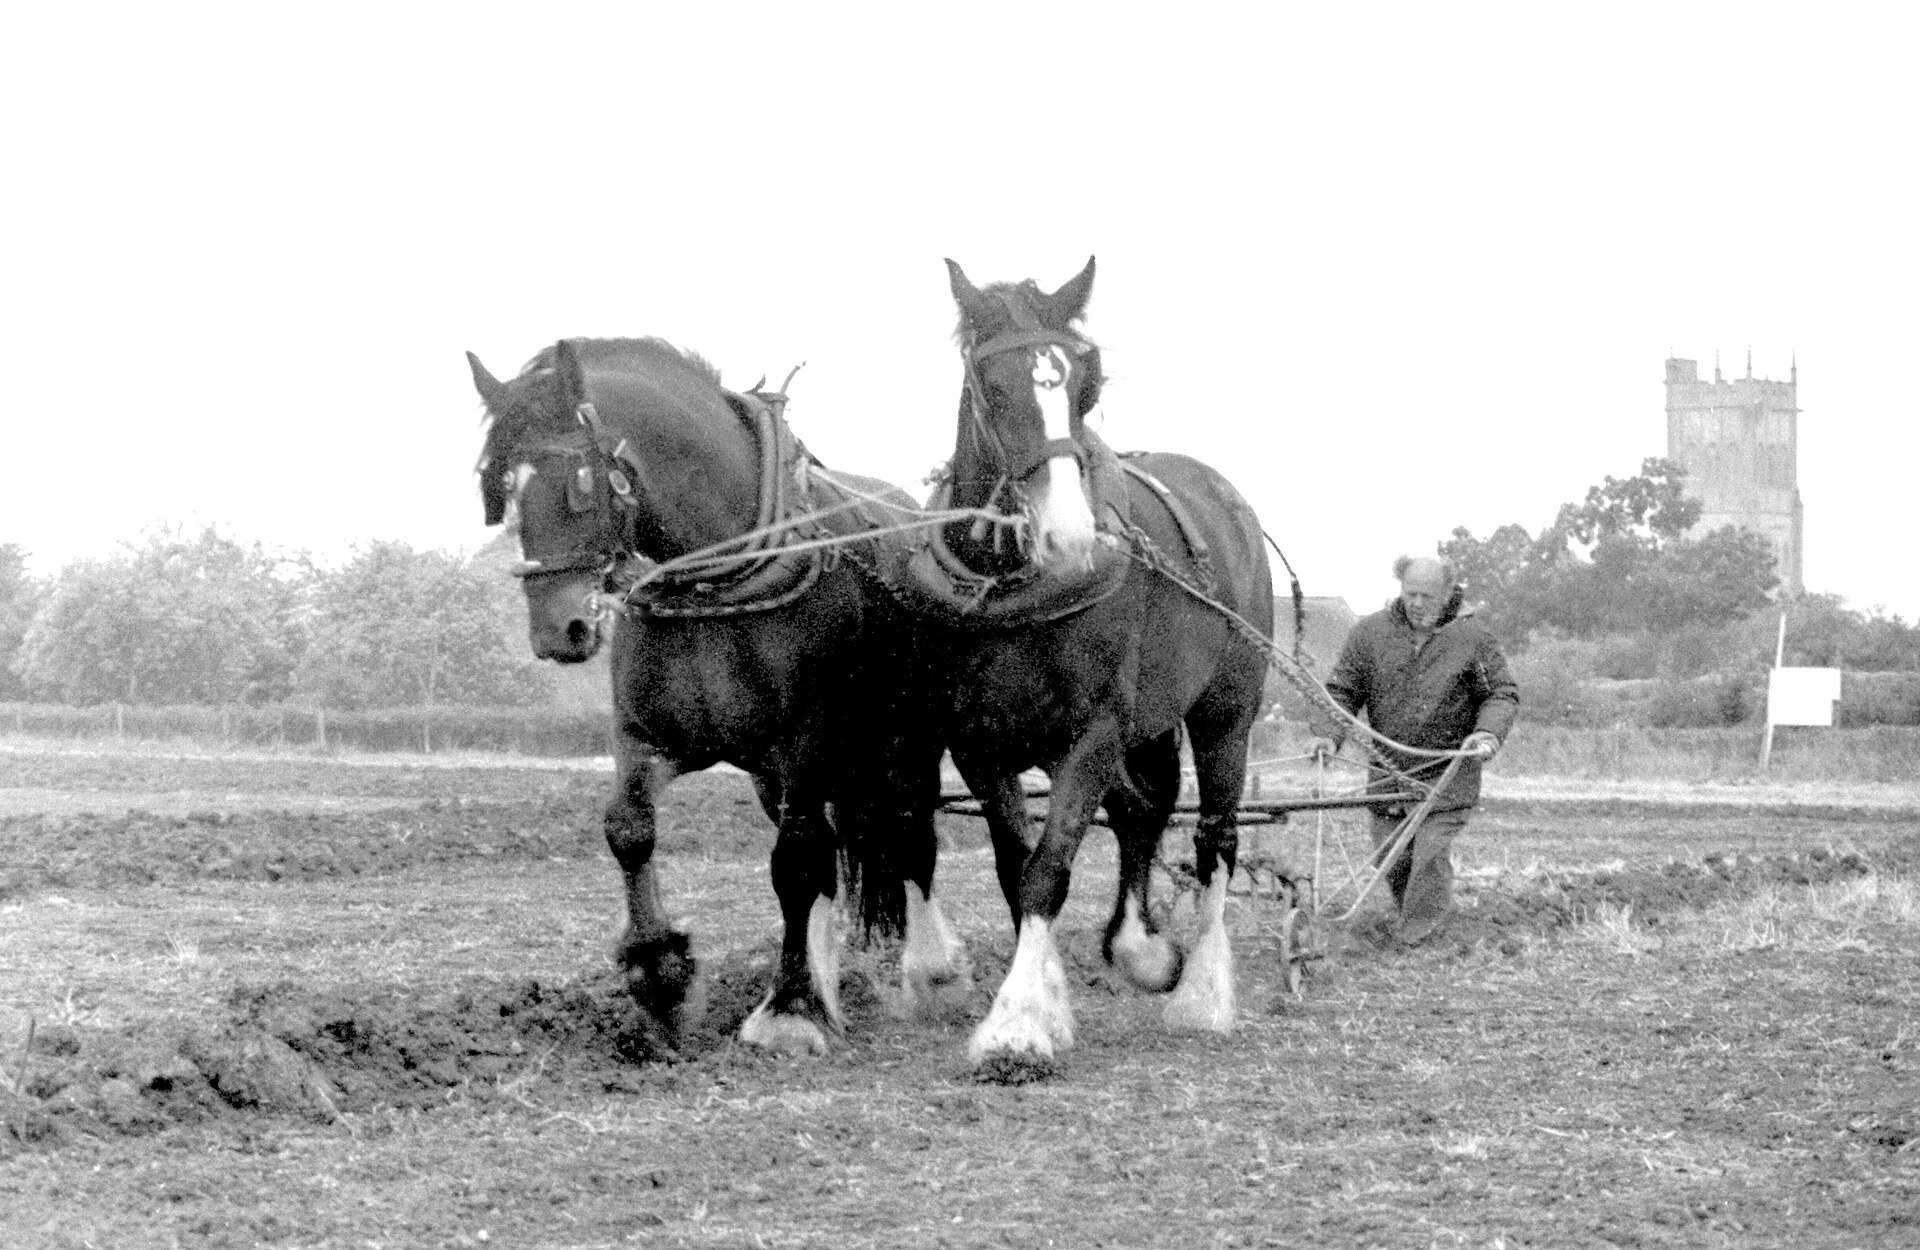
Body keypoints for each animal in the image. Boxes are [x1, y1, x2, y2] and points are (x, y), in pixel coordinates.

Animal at [466, 336, 967, 1056]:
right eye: (500, 486)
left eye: (579, 481)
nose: (558, 632)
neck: (714, 577)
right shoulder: (654, 739)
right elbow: (630, 829)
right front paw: (662, 979)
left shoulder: (806, 743)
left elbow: (794, 861)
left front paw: (788, 1010)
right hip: (785, 775)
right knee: (834, 850)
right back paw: (827, 981)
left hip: (907, 740)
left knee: (908, 830)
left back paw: (932, 973)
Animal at [926, 258, 1275, 1068]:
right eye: (994, 387)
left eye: (1084, 387)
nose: (1073, 540)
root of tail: (1230, 502)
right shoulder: (979, 744)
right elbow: (1014, 868)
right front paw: (1047, 1002)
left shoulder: (1092, 736)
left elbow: (1048, 873)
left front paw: (1018, 1026)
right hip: (1146, 726)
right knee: (1142, 813)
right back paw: (1142, 946)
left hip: (1224, 716)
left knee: (1215, 837)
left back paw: (1202, 991)